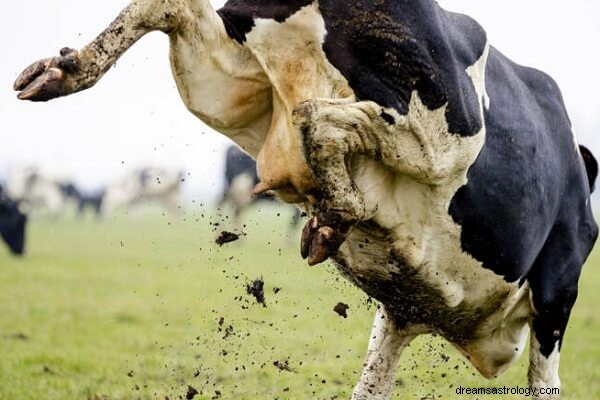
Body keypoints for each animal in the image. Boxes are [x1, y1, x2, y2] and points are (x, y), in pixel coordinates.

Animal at [12, 1, 596, 398]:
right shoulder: (557, 292)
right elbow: (545, 382)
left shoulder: (402, 311)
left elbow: (372, 384)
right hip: (441, 127)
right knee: (325, 119)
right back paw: (340, 211)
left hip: (224, 76)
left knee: (174, 9)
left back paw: (59, 71)